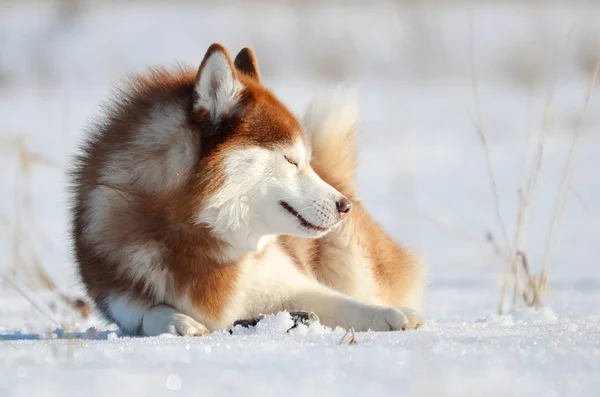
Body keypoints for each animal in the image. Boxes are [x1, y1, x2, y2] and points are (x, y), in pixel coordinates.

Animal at [69, 42, 422, 334]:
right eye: (291, 160)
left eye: (303, 160)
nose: (344, 206)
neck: (198, 235)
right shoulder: (122, 297)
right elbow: (147, 313)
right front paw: (177, 321)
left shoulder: (290, 285)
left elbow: (346, 304)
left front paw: (392, 315)